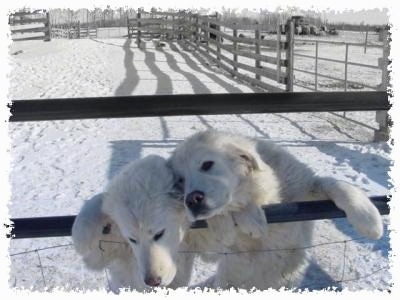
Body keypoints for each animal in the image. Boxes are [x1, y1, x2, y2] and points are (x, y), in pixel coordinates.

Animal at [73, 156, 220, 292]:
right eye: (132, 239)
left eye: (159, 234)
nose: (152, 281)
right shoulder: (111, 249)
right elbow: (97, 201)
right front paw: (80, 234)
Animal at [167, 130, 382, 290]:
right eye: (180, 180)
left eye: (207, 164)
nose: (192, 200)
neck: (271, 196)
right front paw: (242, 220)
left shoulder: (305, 187)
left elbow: (335, 184)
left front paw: (369, 220)